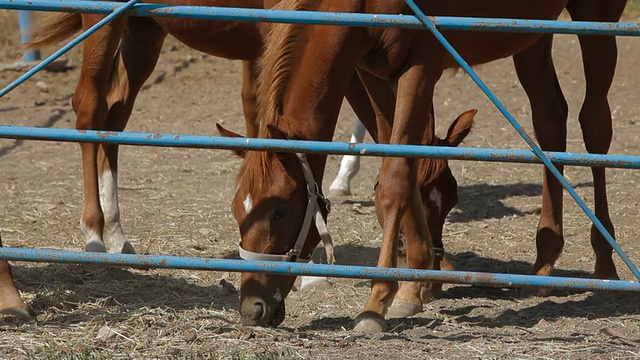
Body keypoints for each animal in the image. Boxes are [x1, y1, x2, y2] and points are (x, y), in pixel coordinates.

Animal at [230, 0, 624, 332]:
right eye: (237, 210)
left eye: (280, 210)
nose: (252, 307)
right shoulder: (374, 71)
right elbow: (405, 163)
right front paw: (415, 284)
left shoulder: (419, 67)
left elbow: (394, 180)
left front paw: (377, 302)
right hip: (533, 35)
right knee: (549, 119)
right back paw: (545, 261)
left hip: (597, 18)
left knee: (595, 124)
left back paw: (605, 265)